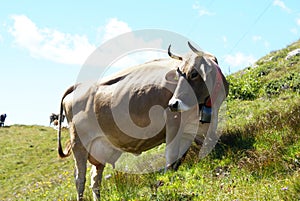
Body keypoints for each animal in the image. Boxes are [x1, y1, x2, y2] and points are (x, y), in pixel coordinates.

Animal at [57, 41, 229, 200]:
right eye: (179, 74)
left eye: (194, 74)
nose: (173, 104)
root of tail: (79, 86)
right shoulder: (173, 121)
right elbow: (171, 155)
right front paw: (165, 180)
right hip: (79, 143)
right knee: (80, 178)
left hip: (102, 148)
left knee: (95, 179)